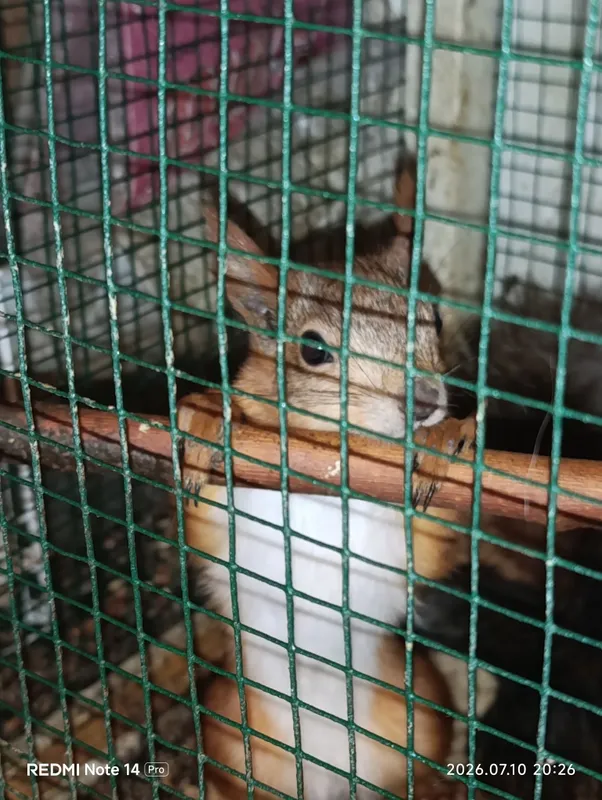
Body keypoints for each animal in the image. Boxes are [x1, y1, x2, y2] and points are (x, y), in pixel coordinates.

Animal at [176, 168, 471, 800]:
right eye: (312, 349)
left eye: (433, 318)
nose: (425, 404)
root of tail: (331, 774)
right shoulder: (232, 517)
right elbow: (198, 511)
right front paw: (206, 419)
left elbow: (438, 540)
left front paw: (442, 444)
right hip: (227, 726)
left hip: (421, 714)